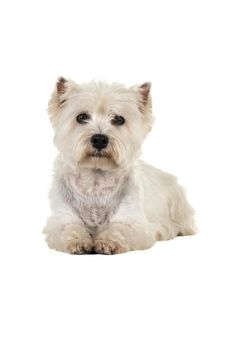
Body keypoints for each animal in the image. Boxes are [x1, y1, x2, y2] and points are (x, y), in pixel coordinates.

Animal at [42, 77, 196, 254]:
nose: (99, 139)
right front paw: (78, 242)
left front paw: (107, 242)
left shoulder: (134, 223)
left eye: (118, 119)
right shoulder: (62, 218)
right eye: (81, 117)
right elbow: (69, 228)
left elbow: (120, 229)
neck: (96, 178)